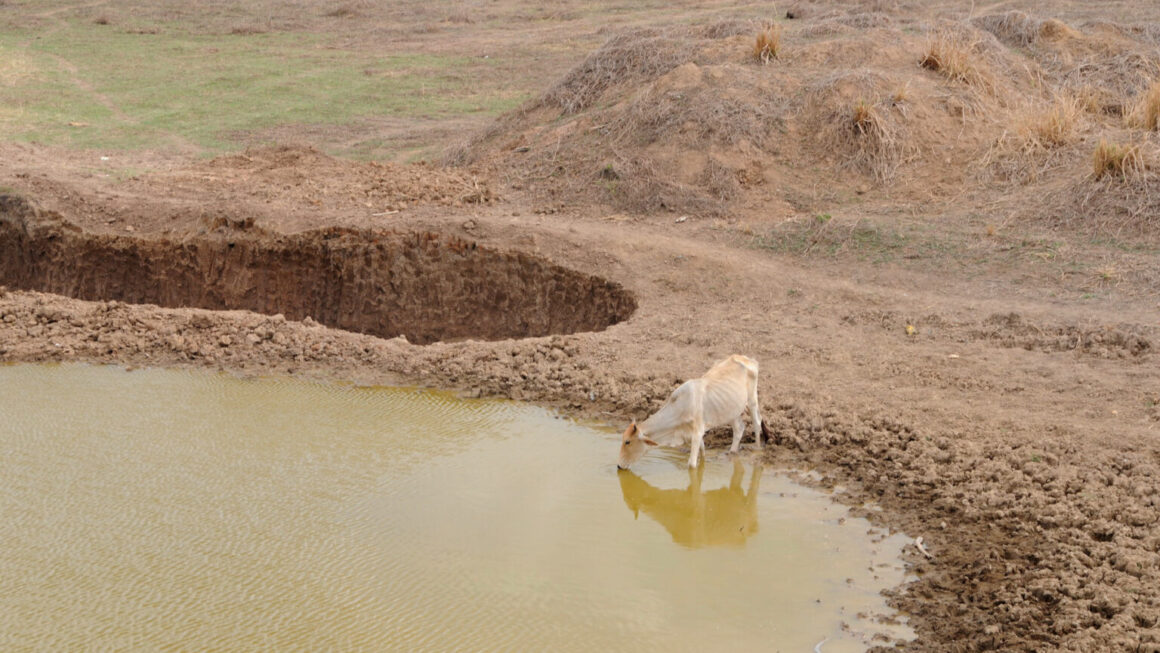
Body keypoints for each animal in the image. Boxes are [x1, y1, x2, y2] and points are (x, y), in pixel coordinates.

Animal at [617, 357, 770, 470]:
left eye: (627, 441)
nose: (619, 466)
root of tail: (745, 358)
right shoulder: (695, 433)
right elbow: (702, 455)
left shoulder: (697, 431)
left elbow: (691, 464)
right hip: (731, 410)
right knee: (739, 428)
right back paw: (731, 452)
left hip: (752, 399)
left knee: (757, 422)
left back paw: (757, 449)